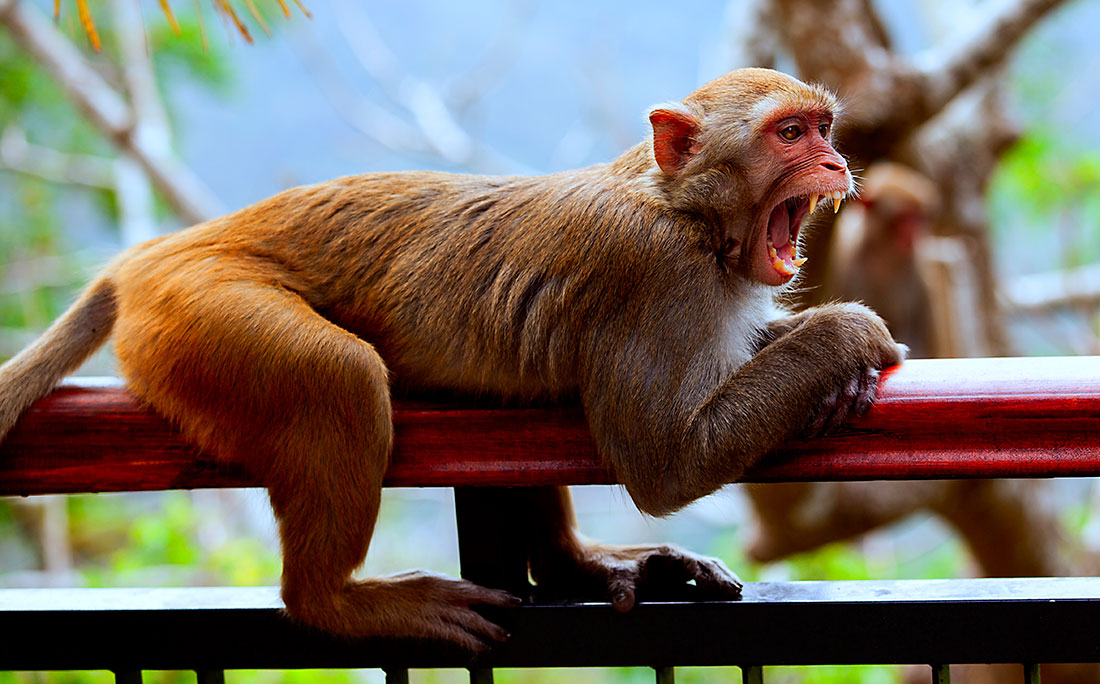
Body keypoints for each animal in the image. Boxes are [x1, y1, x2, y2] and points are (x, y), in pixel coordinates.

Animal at [0, 68, 902, 646]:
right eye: (790, 134)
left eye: (823, 130)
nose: (835, 162)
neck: (683, 209)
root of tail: (150, 256)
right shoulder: (653, 273)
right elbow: (664, 463)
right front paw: (849, 337)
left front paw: (828, 368)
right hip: (201, 312)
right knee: (338, 376)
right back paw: (334, 601)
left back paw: (577, 564)